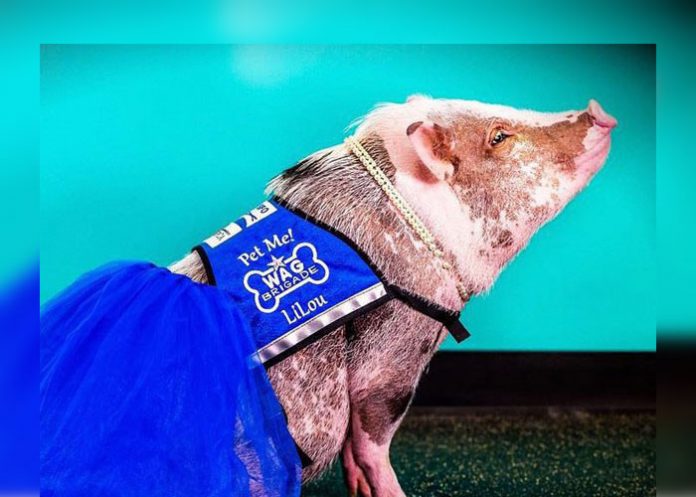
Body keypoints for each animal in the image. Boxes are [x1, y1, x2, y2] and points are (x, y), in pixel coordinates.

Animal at [170, 95, 616, 496]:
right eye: (499, 136)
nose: (598, 110)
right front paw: (394, 493)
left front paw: (358, 491)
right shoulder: (396, 339)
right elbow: (372, 434)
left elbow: (354, 448)